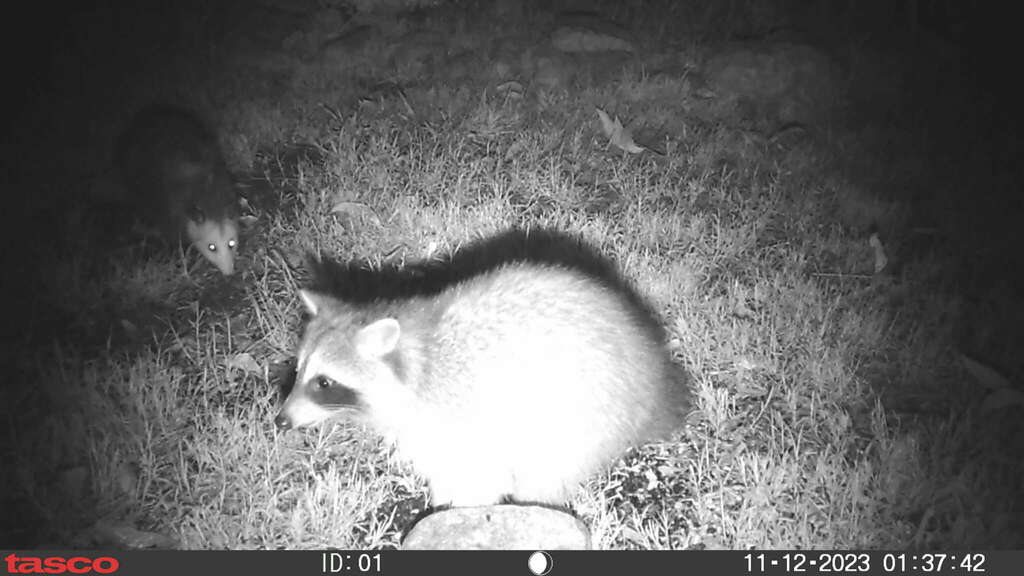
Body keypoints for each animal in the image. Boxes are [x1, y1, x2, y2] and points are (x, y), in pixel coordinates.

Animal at [276, 260, 692, 507]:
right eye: (298, 371)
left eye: (324, 382)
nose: (280, 420)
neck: (418, 359)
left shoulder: (459, 419)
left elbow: (476, 476)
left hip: (586, 415)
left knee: (546, 473)